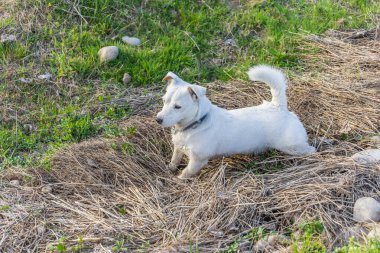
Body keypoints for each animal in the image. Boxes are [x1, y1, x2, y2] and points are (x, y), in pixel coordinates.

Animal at [155, 66, 314, 179]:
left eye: (178, 107)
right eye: (164, 101)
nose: (158, 119)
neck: (196, 124)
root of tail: (278, 106)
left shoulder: (197, 161)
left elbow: (187, 172)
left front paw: (179, 178)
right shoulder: (178, 148)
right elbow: (174, 160)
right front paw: (170, 168)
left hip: (292, 146)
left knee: (309, 149)